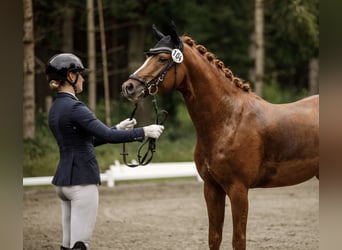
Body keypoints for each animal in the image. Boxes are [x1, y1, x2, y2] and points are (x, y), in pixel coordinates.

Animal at [121, 25, 318, 250]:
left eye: (162, 58)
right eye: (148, 56)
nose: (129, 87)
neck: (228, 119)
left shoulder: (238, 189)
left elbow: (238, 240)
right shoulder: (211, 188)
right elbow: (214, 237)